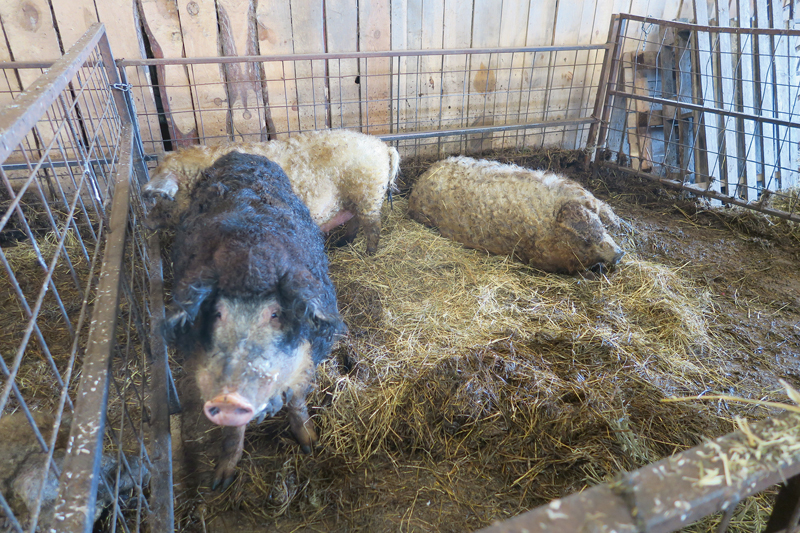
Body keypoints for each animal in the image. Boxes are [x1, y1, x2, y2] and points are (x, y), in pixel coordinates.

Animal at [166, 152, 344, 488]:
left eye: (274, 314)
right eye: (217, 314)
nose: (228, 397)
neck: (249, 264)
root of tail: (240, 153)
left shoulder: (309, 354)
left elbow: (297, 400)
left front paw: (310, 444)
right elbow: (234, 431)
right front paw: (220, 481)